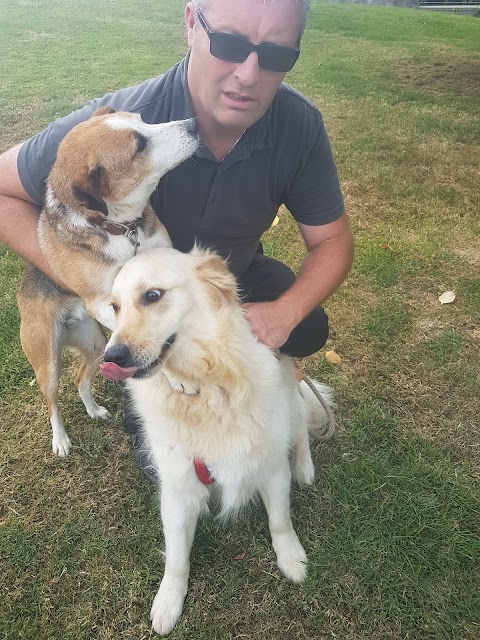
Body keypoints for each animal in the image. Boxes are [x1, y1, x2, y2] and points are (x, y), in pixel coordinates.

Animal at [16, 109, 197, 456]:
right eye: (139, 146)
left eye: (143, 119)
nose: (194, 125)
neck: (121, 228)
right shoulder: (100, 304)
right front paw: (176, 377)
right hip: (47, 360)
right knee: (52, 400)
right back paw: (60, 439)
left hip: (96, 344)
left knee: (80, 379)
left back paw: (93, 409)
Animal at [101, 245, 334, 636]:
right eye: (114, 308)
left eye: (152, 295)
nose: (111, 357)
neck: (210, 389)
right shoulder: (178, 487)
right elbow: (177, 557)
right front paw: (169, 601)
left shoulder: (270, 465)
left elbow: (280, 520)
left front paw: (291, 559)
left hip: (289, 395)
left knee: (301, 422)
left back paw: (304, 467)